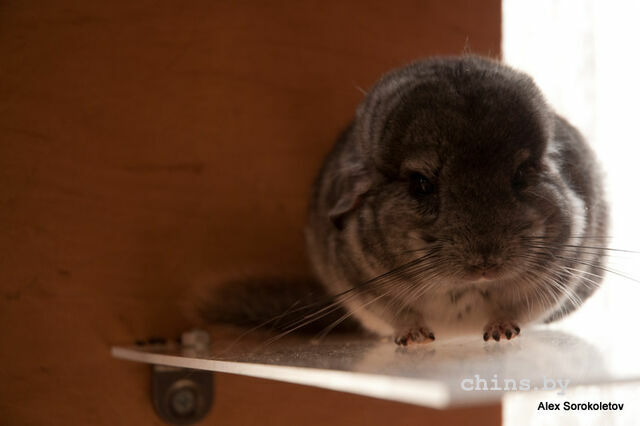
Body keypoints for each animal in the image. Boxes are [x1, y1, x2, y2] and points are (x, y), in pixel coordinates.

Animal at [304, 56, 608, 345]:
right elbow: (401, 315)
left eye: (520, 174)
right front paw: (414, 338)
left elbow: (513, 310)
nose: (485, 265)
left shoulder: (553, 281)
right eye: (421, 183)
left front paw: (501, 332)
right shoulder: (367, 291)